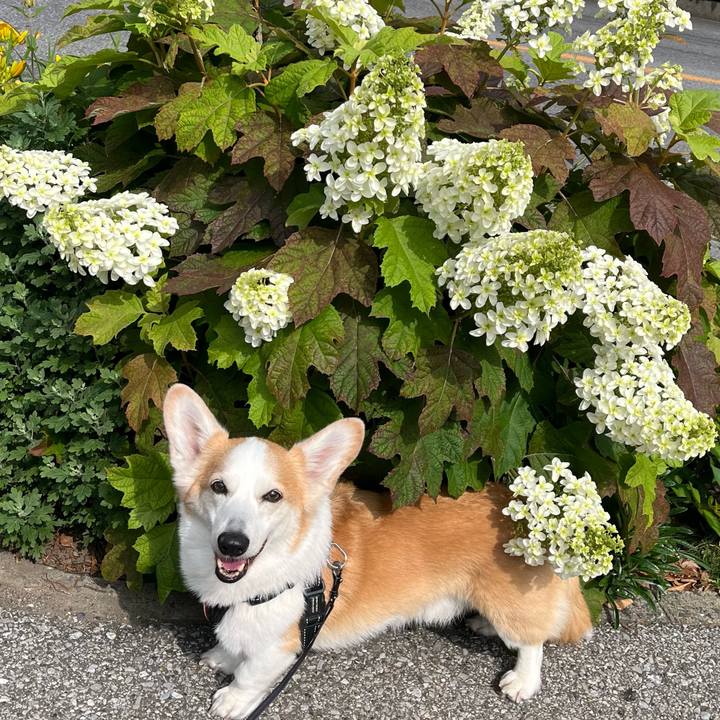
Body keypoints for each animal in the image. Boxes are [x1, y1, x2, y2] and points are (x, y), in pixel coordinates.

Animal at [163, 383, 592, 719]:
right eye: (218, 487)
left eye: (273, 496)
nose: (232, 543)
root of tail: (529, 512)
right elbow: (233, 644)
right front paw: (222, 656)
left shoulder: (280, 645)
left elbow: (250, 674)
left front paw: (233, 699)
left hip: (509, 603)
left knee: (532, 641)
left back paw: (523, 680)